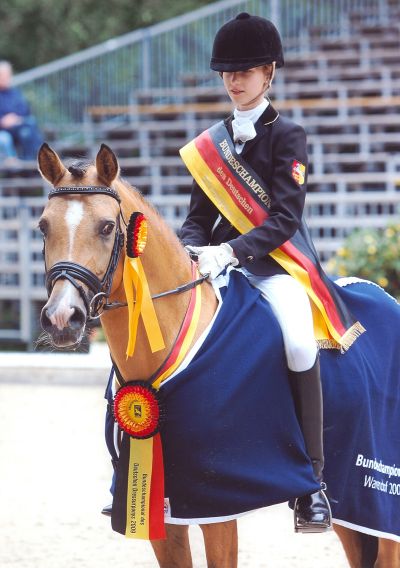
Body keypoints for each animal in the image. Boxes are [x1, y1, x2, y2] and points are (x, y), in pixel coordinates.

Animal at [38, 143, 400, 568]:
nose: (62, 318)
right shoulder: (158, 505)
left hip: (381, 495)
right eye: (43, 226)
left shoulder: (217, 505)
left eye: (107, 227)